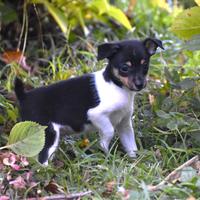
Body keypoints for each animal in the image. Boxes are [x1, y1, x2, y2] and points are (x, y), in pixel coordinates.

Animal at [14, 38, 164, 165]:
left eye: (145, 66)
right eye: (124, 68)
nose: (140, 84)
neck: (118, 87)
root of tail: (24, 96)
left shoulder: (124, 124)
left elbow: (131, 145)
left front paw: (135, 162)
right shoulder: (96, 114)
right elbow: (109, 131)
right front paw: (105, 150)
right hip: (48, 133)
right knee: (41, 158)